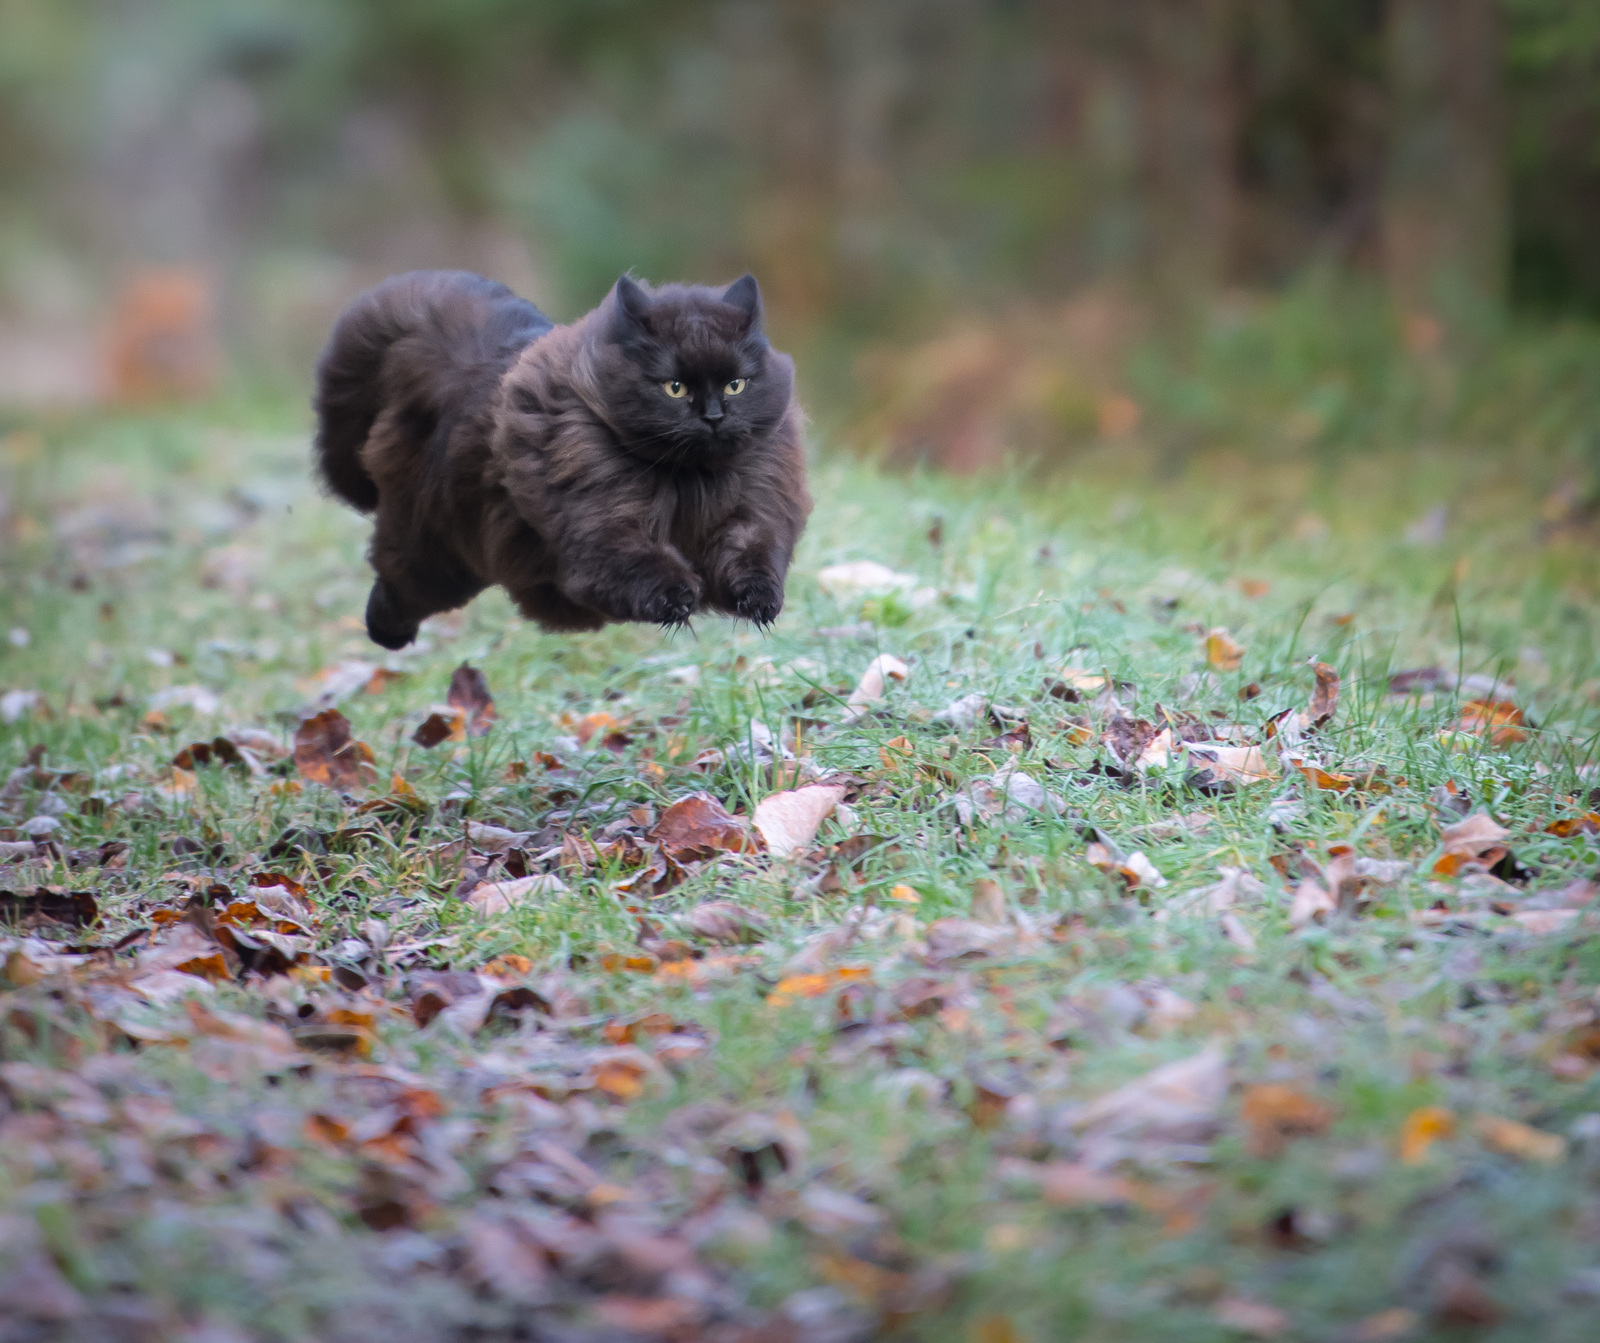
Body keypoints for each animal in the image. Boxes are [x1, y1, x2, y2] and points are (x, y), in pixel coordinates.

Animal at [312, 270, 812, 649]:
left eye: (736, 385)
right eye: (675, 388)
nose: (713, 416)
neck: (687, 479)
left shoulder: (753, 510)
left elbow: (753, 554)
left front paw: (761, 601)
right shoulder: (601, 523)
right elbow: (638, 562)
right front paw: (676, 599)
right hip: (435, 555)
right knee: (394, 585)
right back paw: (385, 634)